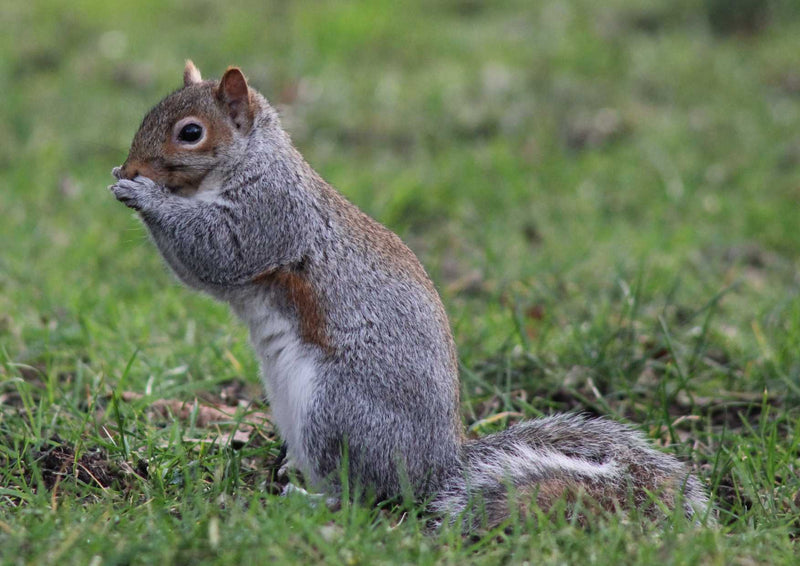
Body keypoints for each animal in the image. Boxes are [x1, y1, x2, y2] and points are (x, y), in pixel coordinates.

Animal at [108, 63, 712, 532]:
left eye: (190, 132)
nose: (132, 165)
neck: (251, 163)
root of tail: (438, 469)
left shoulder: (269, 217)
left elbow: (215, 252)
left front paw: (142, 194)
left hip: (336, 413)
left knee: (363, 496)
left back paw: (306, 499)